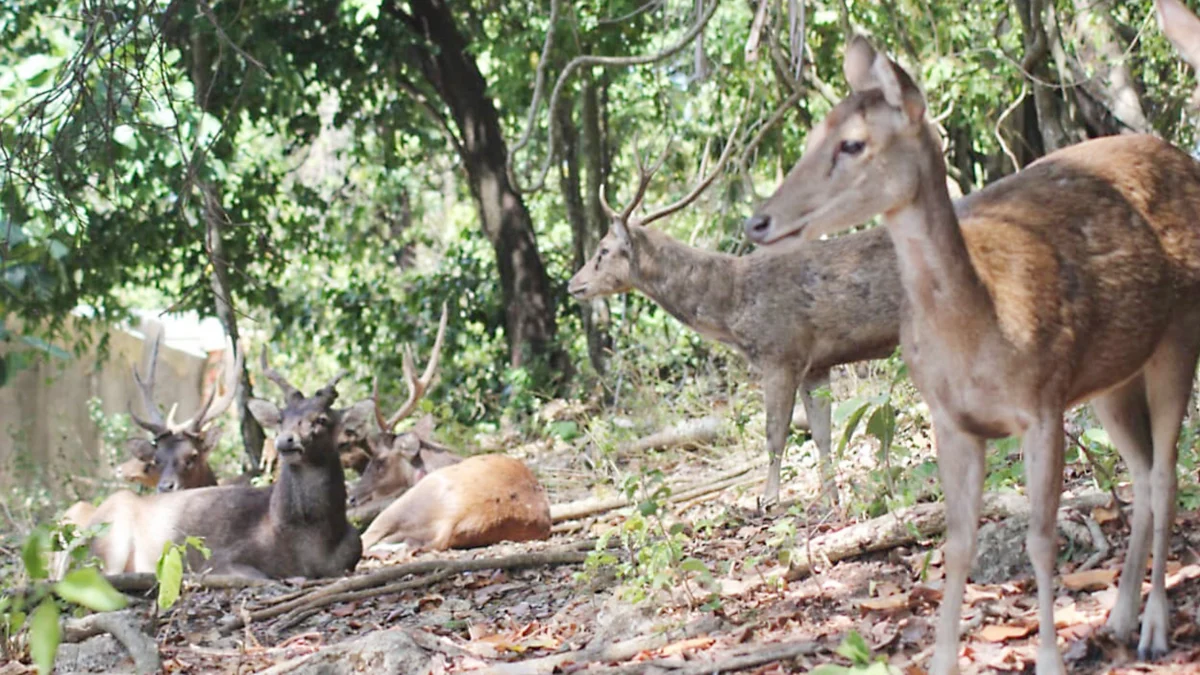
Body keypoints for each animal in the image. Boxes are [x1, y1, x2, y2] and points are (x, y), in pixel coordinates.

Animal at [72, 348, 367, 576]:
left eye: (322, 419)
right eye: (281, 418)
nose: (286, 441)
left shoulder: (354, 552)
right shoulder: (220, 558)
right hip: (109, 541)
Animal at [571, 128, 902, 504]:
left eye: (602, 251)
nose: (572, 284)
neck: (732, 309)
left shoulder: (781, 352)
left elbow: (775, 434)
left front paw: (767, 500)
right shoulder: (814, 363)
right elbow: (822, 434)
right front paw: (830, 499)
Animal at [739, 32, 1200, 672]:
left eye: (852, 143)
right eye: (810, 138)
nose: (758, 221)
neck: (979, 330)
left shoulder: (1042, 402)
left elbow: (1040, 538)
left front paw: (1050, 659)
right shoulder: (952, 419)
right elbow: (957, 545)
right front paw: (942, 660)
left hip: (1180, 333)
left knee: (1166, 473)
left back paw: (1154, 627)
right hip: (1110, 378)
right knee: (1139, 470)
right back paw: (1120, 617)